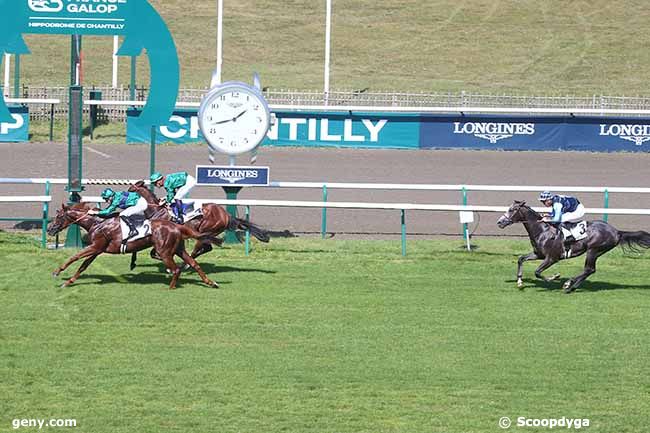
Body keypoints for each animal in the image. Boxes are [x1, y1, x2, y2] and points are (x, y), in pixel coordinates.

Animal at [46, 202, 220, 290]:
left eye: (59, 216)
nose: (49, 229)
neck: (98, 223)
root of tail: (177, 226)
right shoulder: (97, 249)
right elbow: (83, 265)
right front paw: (68, 282)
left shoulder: (96, 247)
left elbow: (75, 257)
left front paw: (56, 272)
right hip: (179, 249)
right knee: (194, 264)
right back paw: (211, 282)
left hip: (165, 252)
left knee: (176, 269)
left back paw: (170, 287)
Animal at [126, 178, 268, 266]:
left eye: (131, 187)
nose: (126, 191)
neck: (156, 209)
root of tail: (226, 215)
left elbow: (154, 253)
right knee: (207, 248)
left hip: (205, 231)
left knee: (198, 250)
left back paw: (185, 266)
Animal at [496, 201, 648, 292]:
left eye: (513, 210)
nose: (499, 222)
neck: (542, 231)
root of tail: (617, 232)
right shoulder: (539, 254)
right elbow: (521, 259)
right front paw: (520, 282)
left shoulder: (552, 258)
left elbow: (537, 272)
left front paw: (554, 277)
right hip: (597, 251)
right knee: (589, 270)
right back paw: (571, 285)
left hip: (593, 250)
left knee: (589, 269)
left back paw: (569, 285)